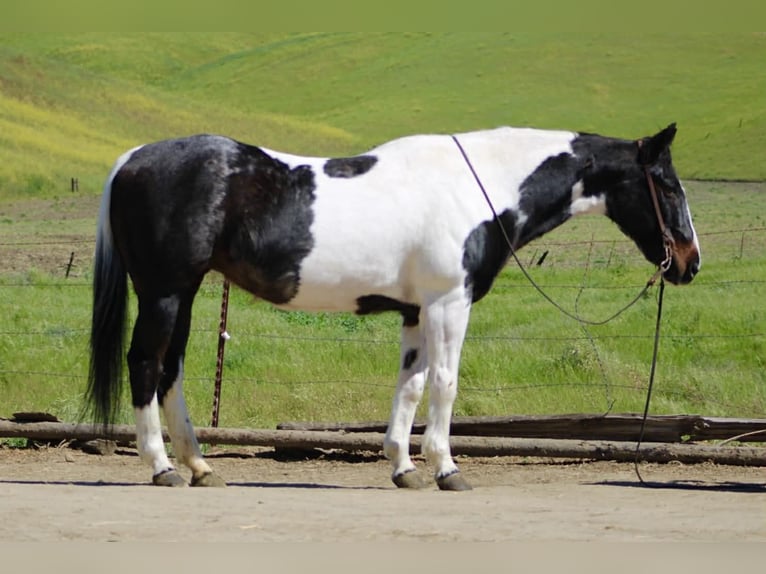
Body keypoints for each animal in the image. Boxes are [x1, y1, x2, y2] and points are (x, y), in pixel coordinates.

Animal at [87, 123, 700, 490]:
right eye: (668, 186)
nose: (690, 262)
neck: (479, 185)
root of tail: (132, 158)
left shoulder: (415, 311)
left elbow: (411, 384)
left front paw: (404, 467)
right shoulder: (450, 303)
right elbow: (446, 383)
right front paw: (447, 468)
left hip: (186, 292)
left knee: (171, 370)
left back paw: (198, 464)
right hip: (164, 291)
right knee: (145, 365)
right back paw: (161, 467)